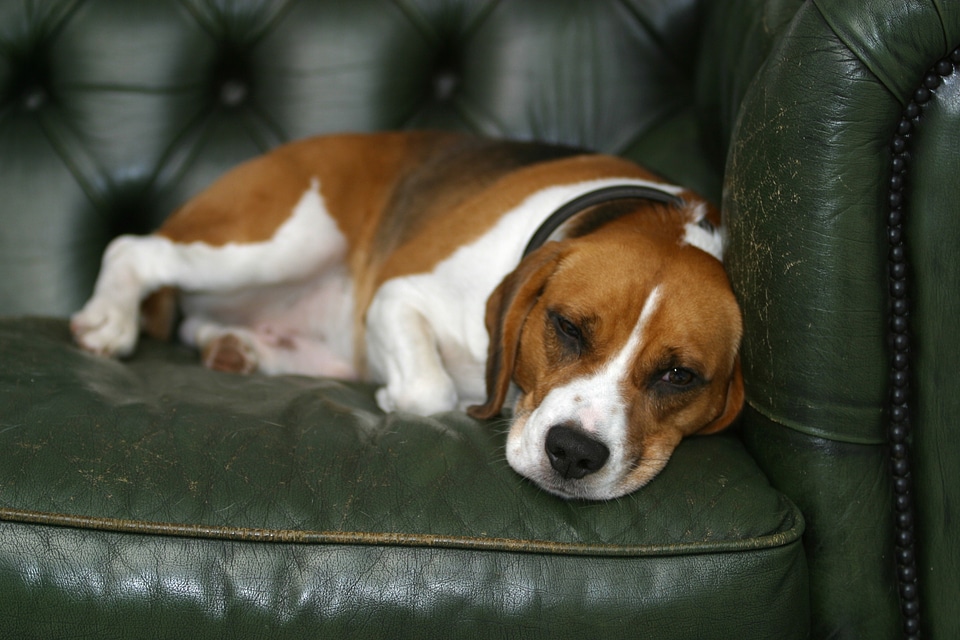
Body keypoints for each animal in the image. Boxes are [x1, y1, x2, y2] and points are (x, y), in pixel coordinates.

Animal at [73, 130, 744, 500]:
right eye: (568, 327)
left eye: (679, 376)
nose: (573, 454)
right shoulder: (398, 294)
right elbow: (429, 391)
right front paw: (401, 397)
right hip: (280, 241)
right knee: (134, 249)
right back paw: (109, 320)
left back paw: (236, 347)